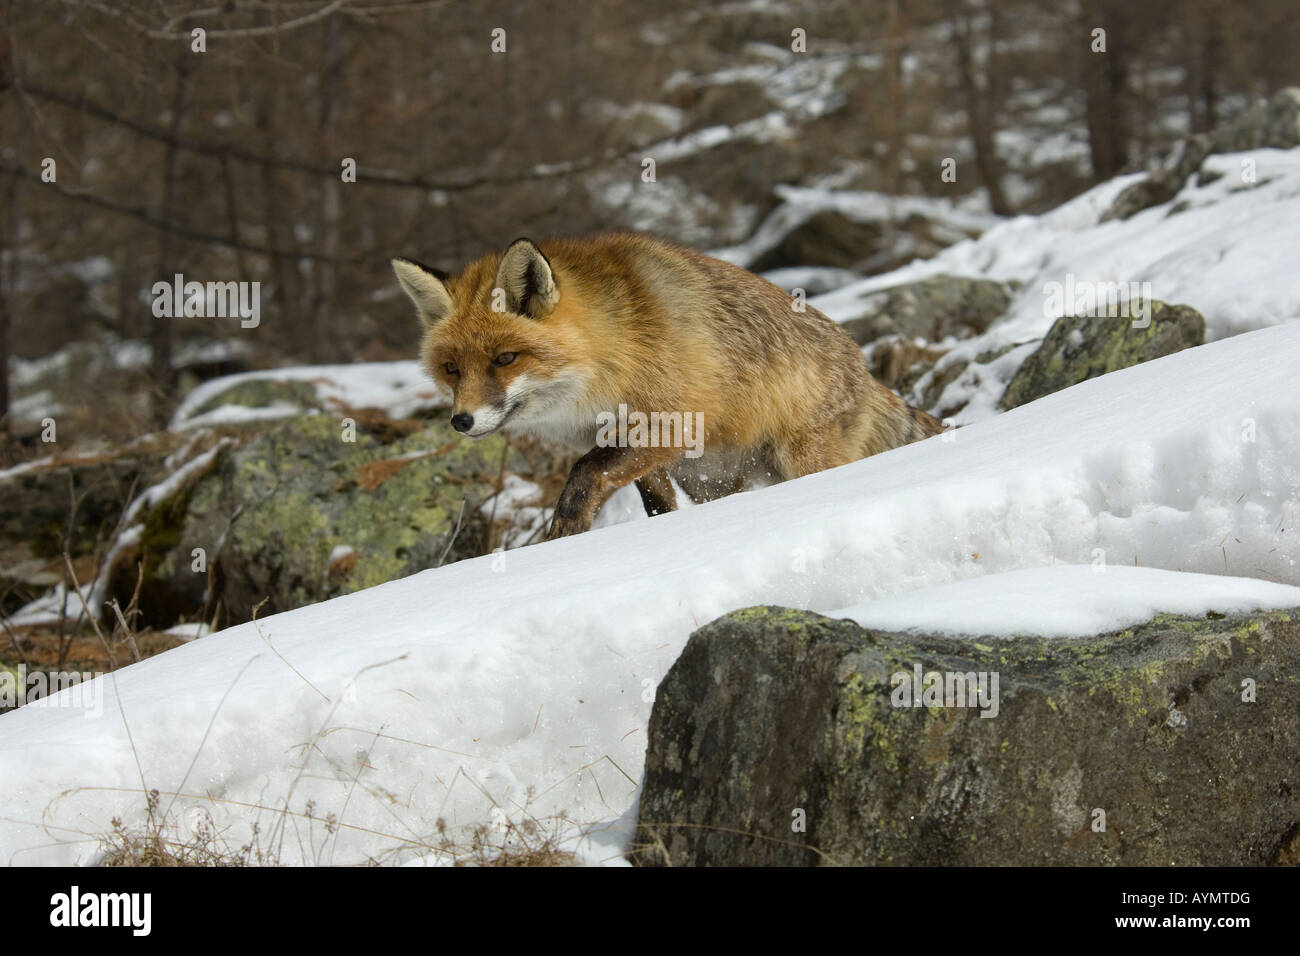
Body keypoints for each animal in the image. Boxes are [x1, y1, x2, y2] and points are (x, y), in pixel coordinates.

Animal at [390, 234, 941, 538]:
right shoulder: (641, 451)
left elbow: (584, 472)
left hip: (798, 461)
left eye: (505, 359)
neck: (614, 350)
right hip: (714, 479)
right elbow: (653, 503)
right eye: (451, 369)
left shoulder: (672, 422)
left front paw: (564, 534)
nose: (461, 421)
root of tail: (865, 368)